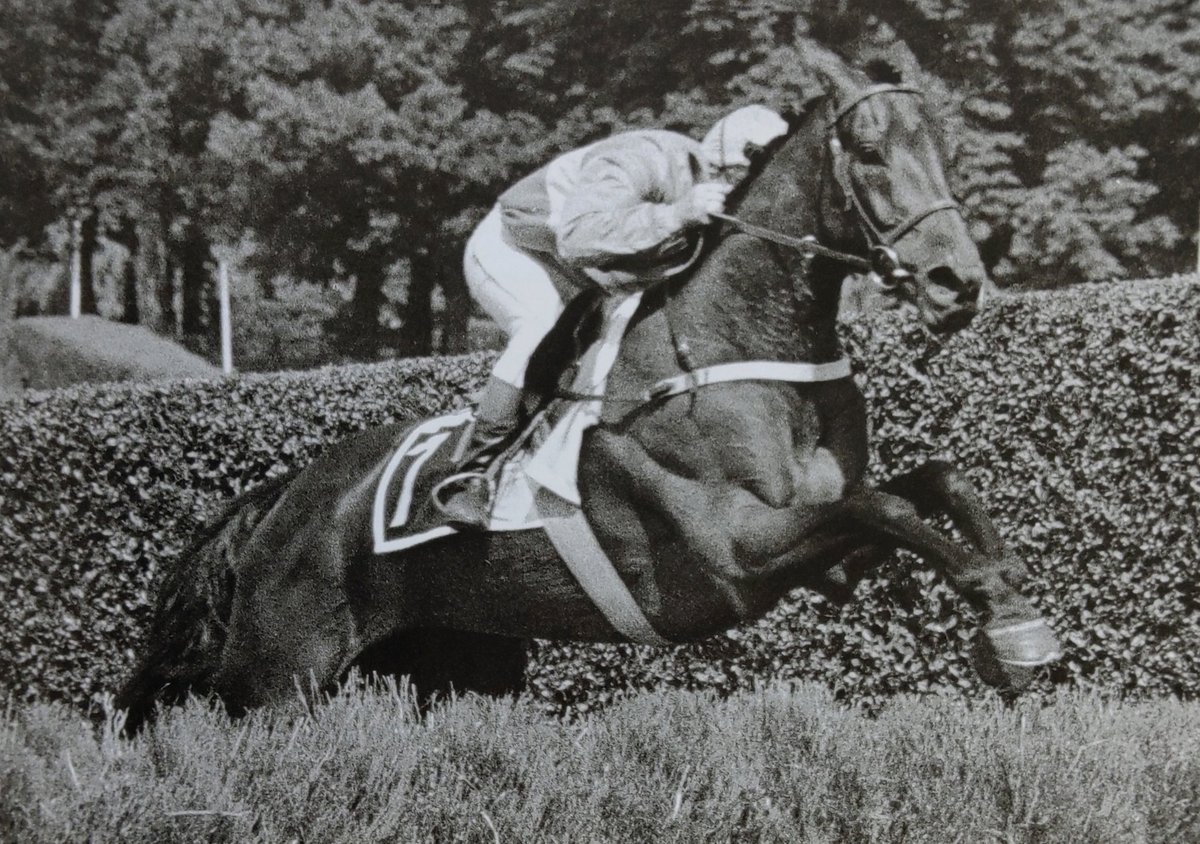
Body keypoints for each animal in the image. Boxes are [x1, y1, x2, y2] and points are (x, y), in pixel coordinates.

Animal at [114, 52, 1060, 729]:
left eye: (943, 153)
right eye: (868, 155)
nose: (957, 284)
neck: (736, 349)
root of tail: (278, 500)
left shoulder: (823, 554)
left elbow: (928, 484)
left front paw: (1010, 589)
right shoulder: (736, 553)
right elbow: (889, 507)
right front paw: (1001, 611)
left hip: (457, 668)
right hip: (279, 680)